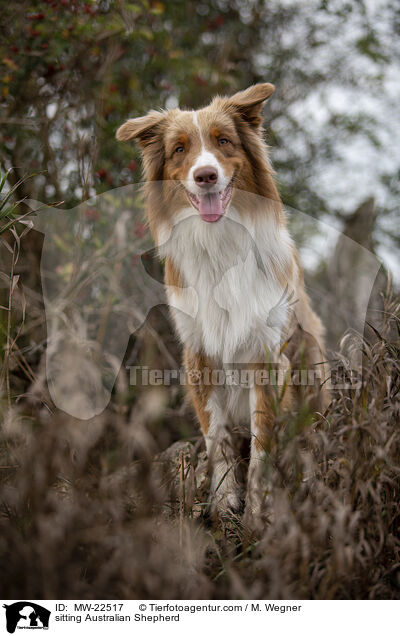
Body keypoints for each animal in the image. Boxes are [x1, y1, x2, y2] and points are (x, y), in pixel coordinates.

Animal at [116, 82, 328, 524]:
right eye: (180, 149)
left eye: (223, 141)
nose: (206, 175)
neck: (220, 245)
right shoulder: (199, 353)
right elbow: (217, 435)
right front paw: (224, 500)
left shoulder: (268, 355)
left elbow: (263, 441)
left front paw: (258, 511)